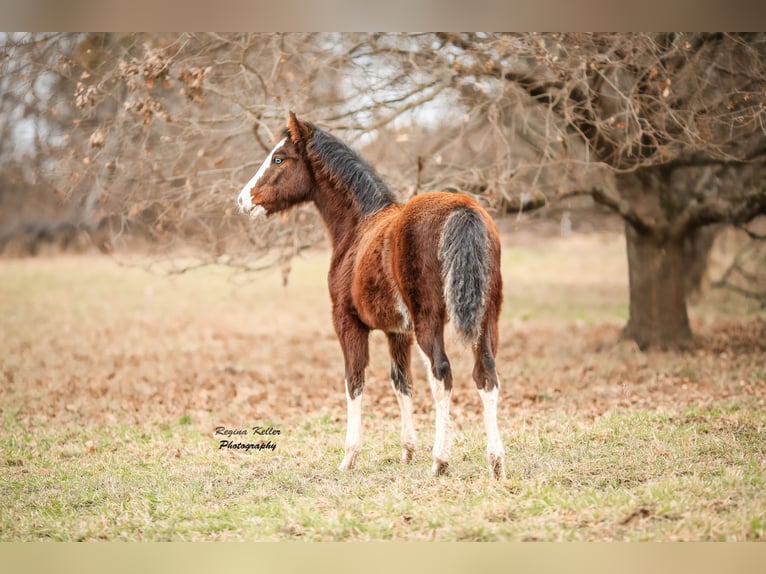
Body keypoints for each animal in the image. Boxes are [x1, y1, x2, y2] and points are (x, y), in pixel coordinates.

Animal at [236, 112, 506, 478]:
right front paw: (407, 451)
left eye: (279, 158)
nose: (243, 200)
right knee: (486, 374)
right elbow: (401, 382)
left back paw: (440, 461)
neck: (358, 226)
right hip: (486, 318)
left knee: (442, 373)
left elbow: (354, 380)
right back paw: (496, 462)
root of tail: (463, 209)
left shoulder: (347, 322)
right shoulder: (398, 331)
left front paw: (349, 457)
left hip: (430, 320)